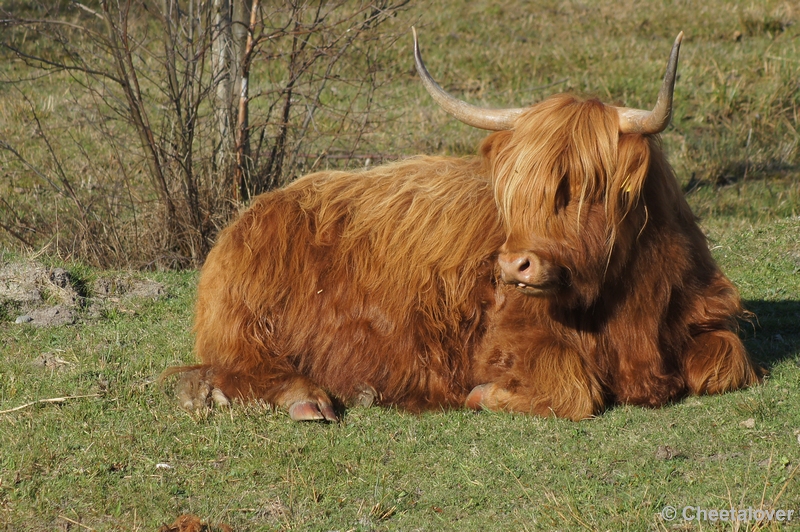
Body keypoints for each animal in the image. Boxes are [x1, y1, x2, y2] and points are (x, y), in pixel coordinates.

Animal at [170, 30, 764, 420]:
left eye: (578, 188)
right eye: (515, 191)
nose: (513, 264)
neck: (623, 301)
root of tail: (249, 212)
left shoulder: (705, 315)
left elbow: (726, 363)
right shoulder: (504, 340)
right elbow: (577, 388)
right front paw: (488, 396)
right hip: (247, 326)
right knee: (228, 369)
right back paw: (304, 398)